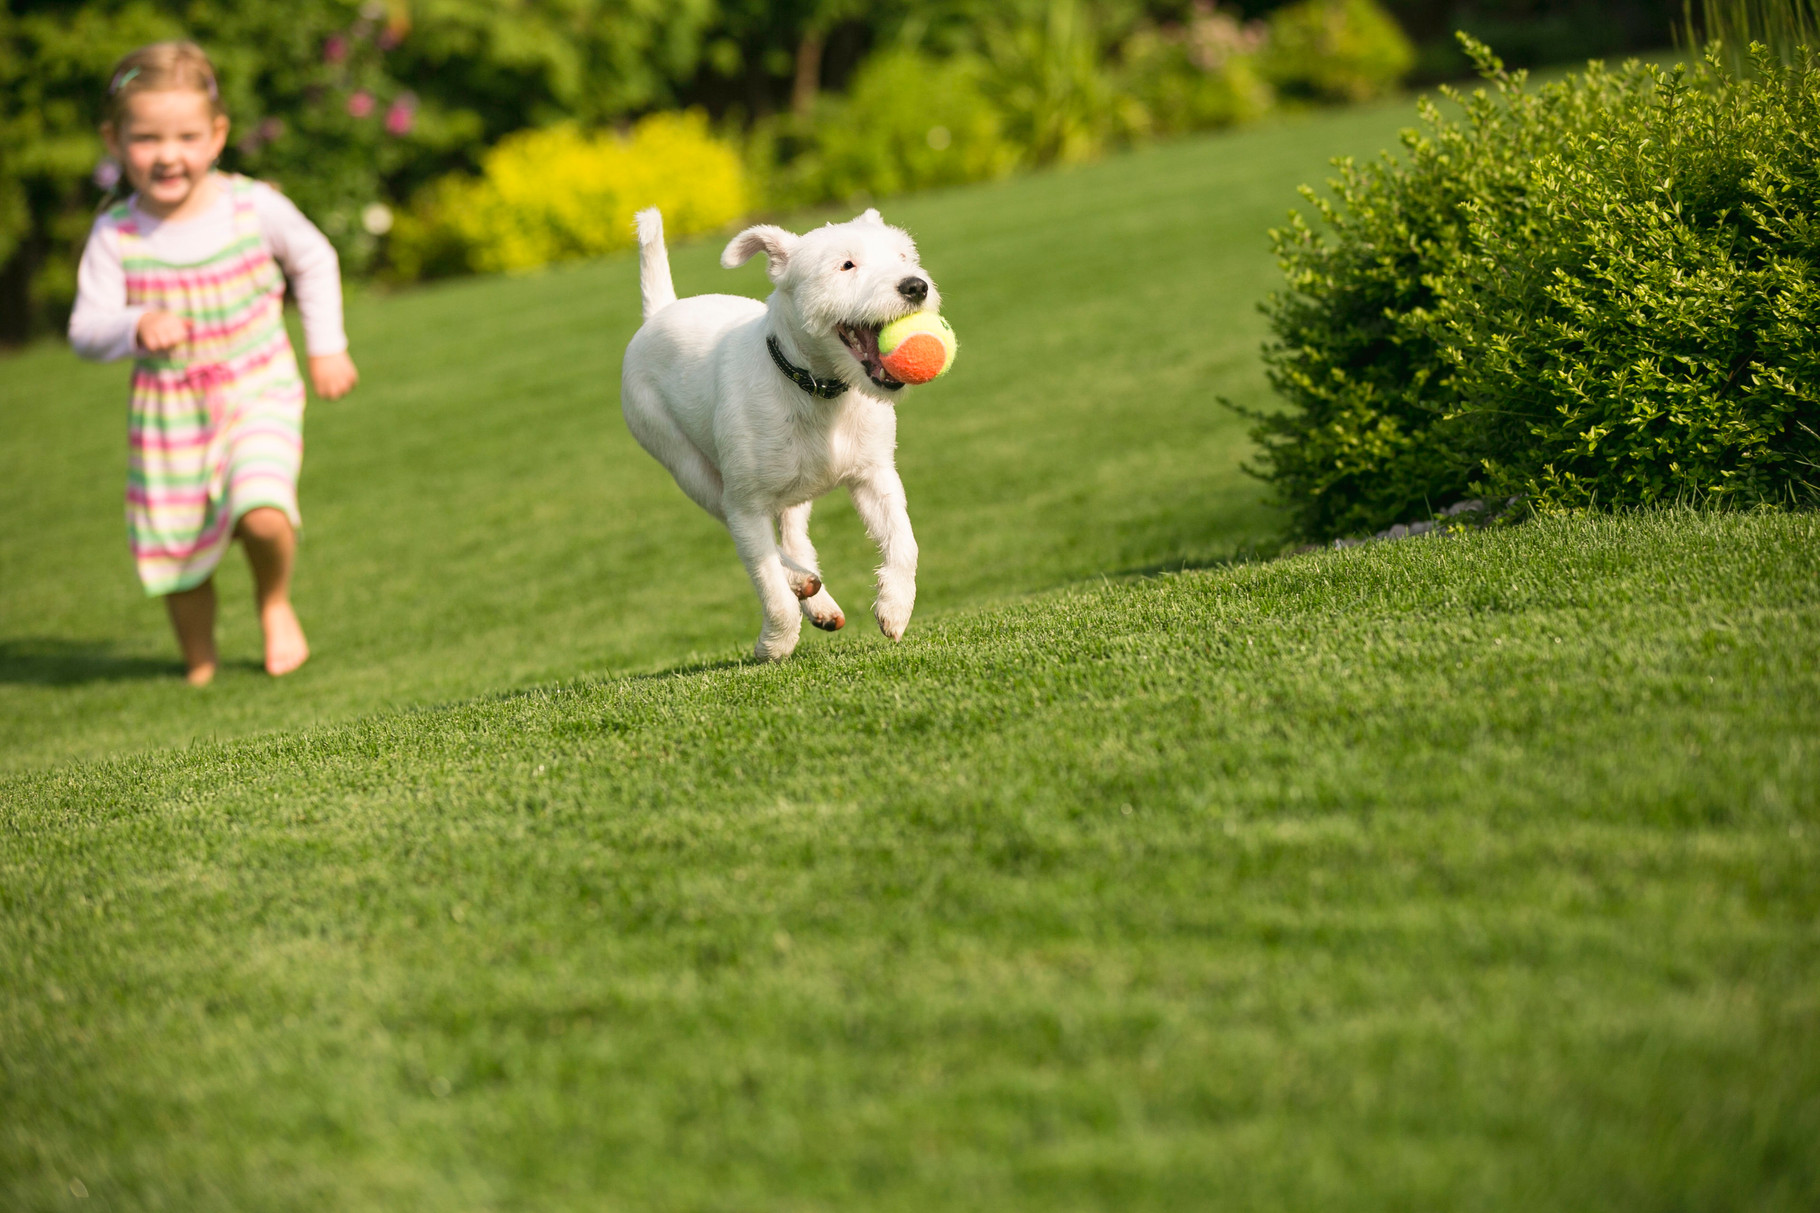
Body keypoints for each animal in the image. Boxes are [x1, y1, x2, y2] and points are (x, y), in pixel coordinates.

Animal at [622, 209, 946, 662]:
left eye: (903, 256)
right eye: (846, 265)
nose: (915, 285)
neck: (817, 388)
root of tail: (660, 312)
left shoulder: (875, 476)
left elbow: (904, 542)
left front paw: (895, 607)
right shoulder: (745, 505)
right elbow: (767, 581)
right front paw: (775, 643)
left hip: (793, 486)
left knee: (794, 536)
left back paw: (817, 597)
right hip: (687, 467)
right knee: (748, 533)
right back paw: (800, 583)